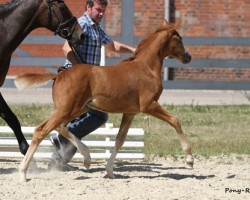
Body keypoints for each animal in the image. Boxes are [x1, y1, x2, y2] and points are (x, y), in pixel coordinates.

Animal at [15, 20, 194, 181]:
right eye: (180, 39)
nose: (188, 57)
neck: (146, 68)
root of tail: (59, 75)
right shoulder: (149, 105)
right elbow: (175, 121)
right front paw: (189, 160)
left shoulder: (130, 112)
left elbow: (120, 140)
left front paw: (109, 171)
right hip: (67, 109)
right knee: (41, 130)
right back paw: (23, 172)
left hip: (76, 108)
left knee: (59, 127)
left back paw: (86, 157)